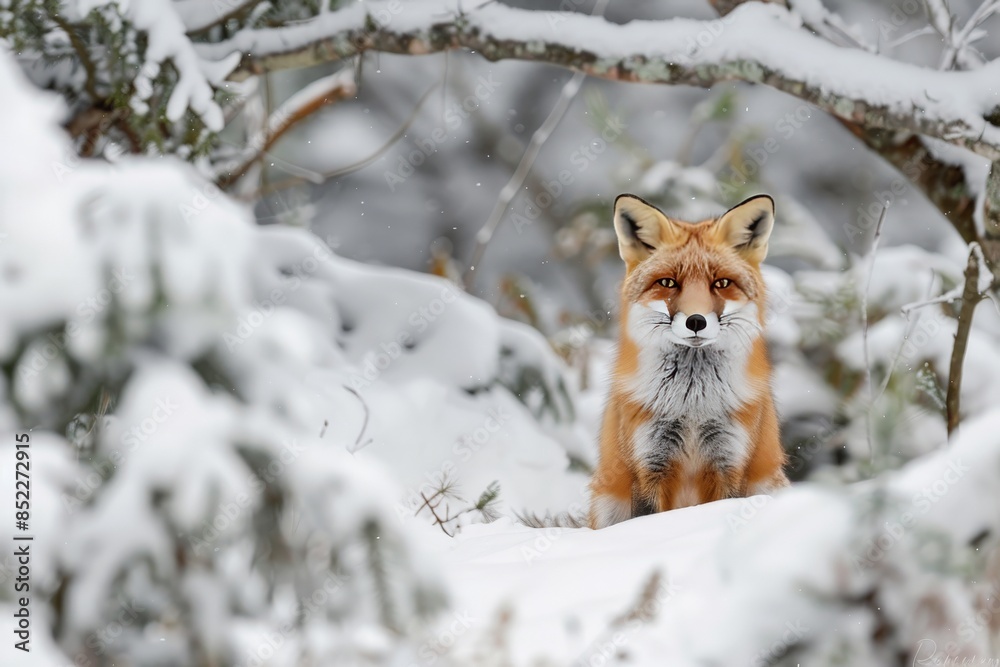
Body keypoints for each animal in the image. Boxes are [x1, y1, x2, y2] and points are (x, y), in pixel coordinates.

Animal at [588, 193, 788, 529]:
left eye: (721, 283)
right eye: (668, 282)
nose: (696, 321)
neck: (692, 406)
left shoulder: (728, 461)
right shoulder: (649, 464)